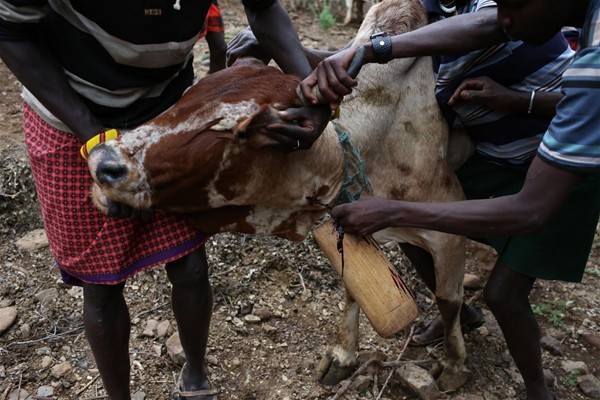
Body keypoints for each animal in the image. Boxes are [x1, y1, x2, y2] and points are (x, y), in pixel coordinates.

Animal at [89, 0, 474, 390]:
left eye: (236, 132)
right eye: (185, 97)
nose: (104, 162)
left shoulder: (448, 229)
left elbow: (448, 297)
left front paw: (454, 365)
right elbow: (354, 288)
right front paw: (343, 355)